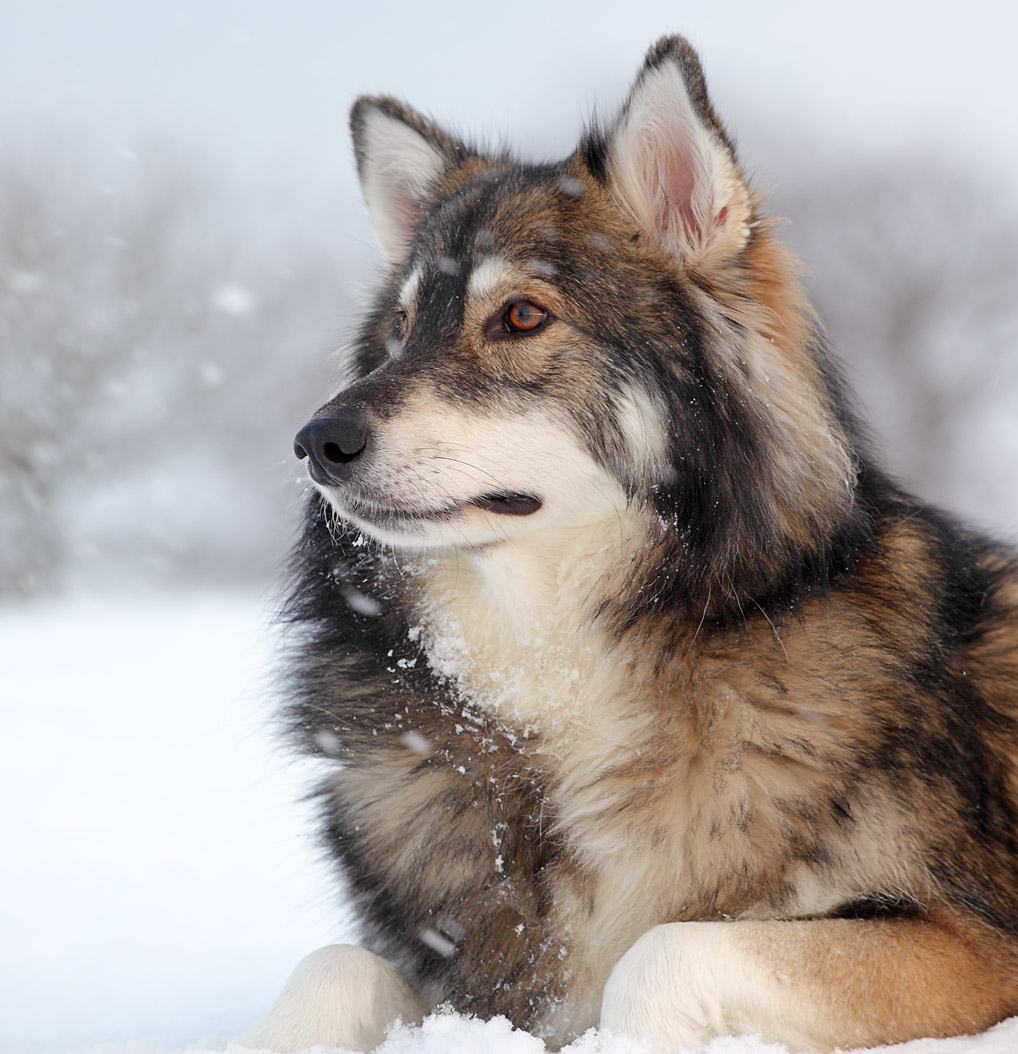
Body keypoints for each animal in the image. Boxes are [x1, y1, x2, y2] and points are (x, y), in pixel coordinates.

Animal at [245, 35, 1018, 1054]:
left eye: (521, 316)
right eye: (402, 331)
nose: (316, 441)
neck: (568, 669)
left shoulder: (972, 946)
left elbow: (660, 955)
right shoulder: (478, 975)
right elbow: (331, 969)